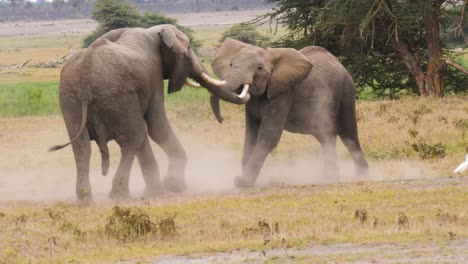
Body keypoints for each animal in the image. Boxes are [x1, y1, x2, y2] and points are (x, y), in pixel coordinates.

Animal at [49, 25, 250, 204]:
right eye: (189, 48)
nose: (221, 120)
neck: (154, 31)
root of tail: (85, 80)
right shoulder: (154, 77)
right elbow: (157, 127)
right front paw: (173, 186)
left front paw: (161, 190)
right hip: (118, 96)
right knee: (133, 138)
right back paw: (119, 196)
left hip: (70, 100)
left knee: (82, 147)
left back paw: (85, 200)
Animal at [210, 38, 368, 188]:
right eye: (231, 64)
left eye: (259, 68)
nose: (221, 120)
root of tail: (339, 63)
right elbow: (251, 134)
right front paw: (245, 180)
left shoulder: (283, 92)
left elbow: (269, 134)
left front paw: (242, 182)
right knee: (326, 136)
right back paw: (329, 178)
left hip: (346, 90)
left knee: (348, 134)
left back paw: (360, 176)